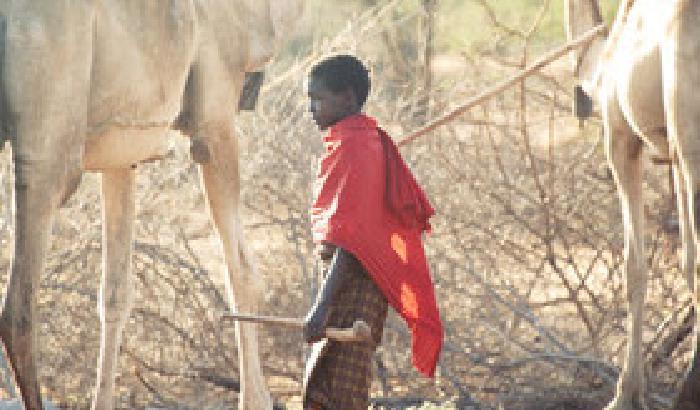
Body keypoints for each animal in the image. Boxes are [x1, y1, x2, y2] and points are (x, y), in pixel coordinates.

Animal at [0, 1, 304, 408]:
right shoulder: (216, 121)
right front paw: (255, 399)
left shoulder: (121, 151)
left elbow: (114, 295)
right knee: (18, 311)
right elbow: (241, 270)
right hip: (49, 147)